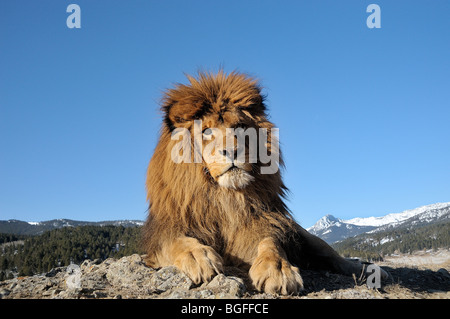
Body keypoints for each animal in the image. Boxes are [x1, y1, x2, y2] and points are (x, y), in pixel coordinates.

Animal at [142, 70, 384, 296]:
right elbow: (176, 241)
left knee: (333, 255)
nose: (232, 151)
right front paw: (198, 256)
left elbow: (271, 243)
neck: (226, 198)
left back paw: (371, 270)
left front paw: (277, 269)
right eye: (207, 131)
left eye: (240, 127)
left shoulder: (263, 223)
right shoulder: (163, 233)